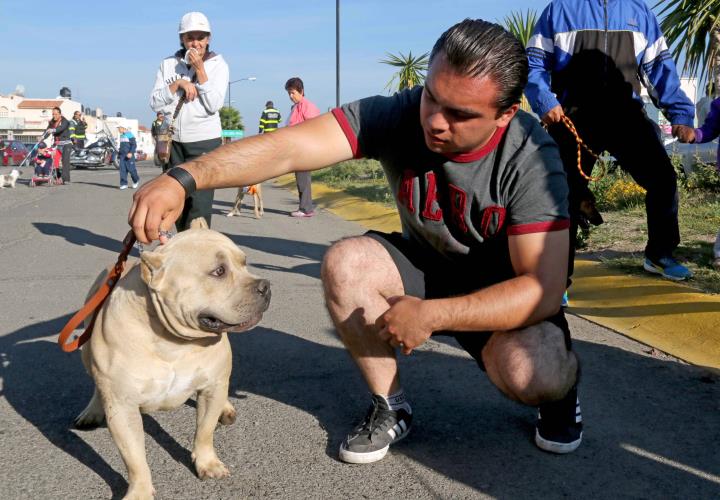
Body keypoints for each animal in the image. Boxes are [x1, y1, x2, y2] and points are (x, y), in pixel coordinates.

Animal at [74, 220, 270, 500]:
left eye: (245, 262)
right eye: (219, 272)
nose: (265, 286)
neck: (173, 342)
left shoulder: (211, 388)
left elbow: (204, 431)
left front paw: (207, 463)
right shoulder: (122, 409)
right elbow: (135, 459)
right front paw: (140, 491)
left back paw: (225, 408)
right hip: (86, 348)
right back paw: (92, 410)